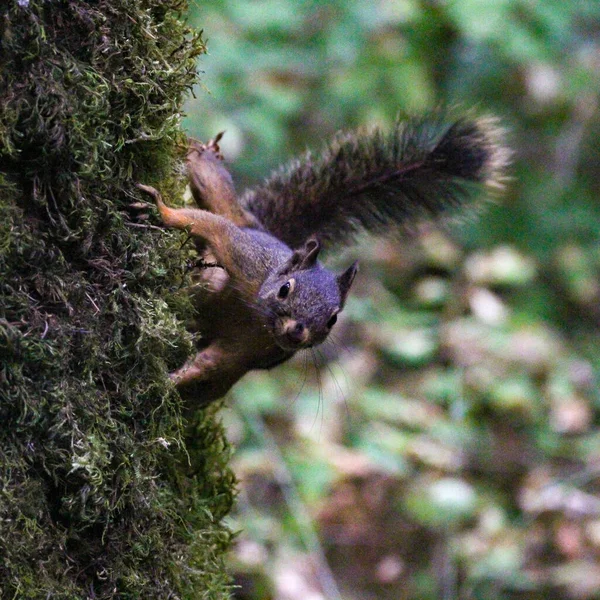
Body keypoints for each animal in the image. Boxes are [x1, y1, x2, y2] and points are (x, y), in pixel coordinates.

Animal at [138, 113, 508, 406]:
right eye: (285, 289)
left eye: (332, 319)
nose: (297, 332)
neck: (256, 316)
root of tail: (265, 229)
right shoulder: (243, 257)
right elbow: (210, 226)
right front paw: (163, 211)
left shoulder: (249, 349)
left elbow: (209, 364)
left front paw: (171, 383)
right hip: (236, 224)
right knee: (213, 189)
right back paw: (203, 153)